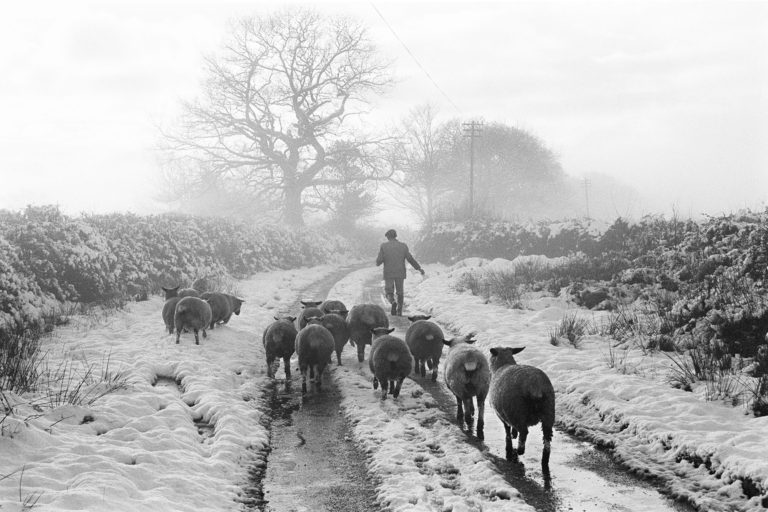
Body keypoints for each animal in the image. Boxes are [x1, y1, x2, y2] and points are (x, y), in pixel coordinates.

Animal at [488, 346, 556, 474]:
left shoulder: (502, 415)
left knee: (524, 432)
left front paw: (510, 441)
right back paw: (545, 460)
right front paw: (514, 434)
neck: (502, 365)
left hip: (517, 411)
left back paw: (519, 450)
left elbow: (507, 430)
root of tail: (535, 385)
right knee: (547, 440)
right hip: (548, 412)